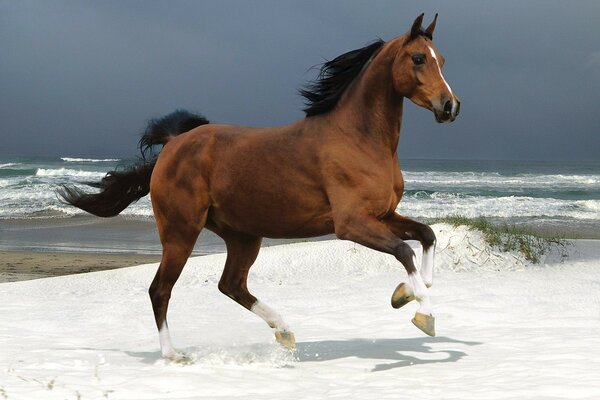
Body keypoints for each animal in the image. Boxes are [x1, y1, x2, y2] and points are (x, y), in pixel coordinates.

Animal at [59, 14, 460, 360]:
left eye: (441, 59)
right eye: (418, 58)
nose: (450, 106)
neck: (359, 138)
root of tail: (174, 144)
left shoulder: (383, 214)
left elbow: (426, 236)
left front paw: (405, 294)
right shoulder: (351, 224)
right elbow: (404, 251)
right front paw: (424, 315)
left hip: (242, 236)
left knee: (230, 285)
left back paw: (285, 331)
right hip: (181, 232)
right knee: (161, 289)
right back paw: (174, 354)